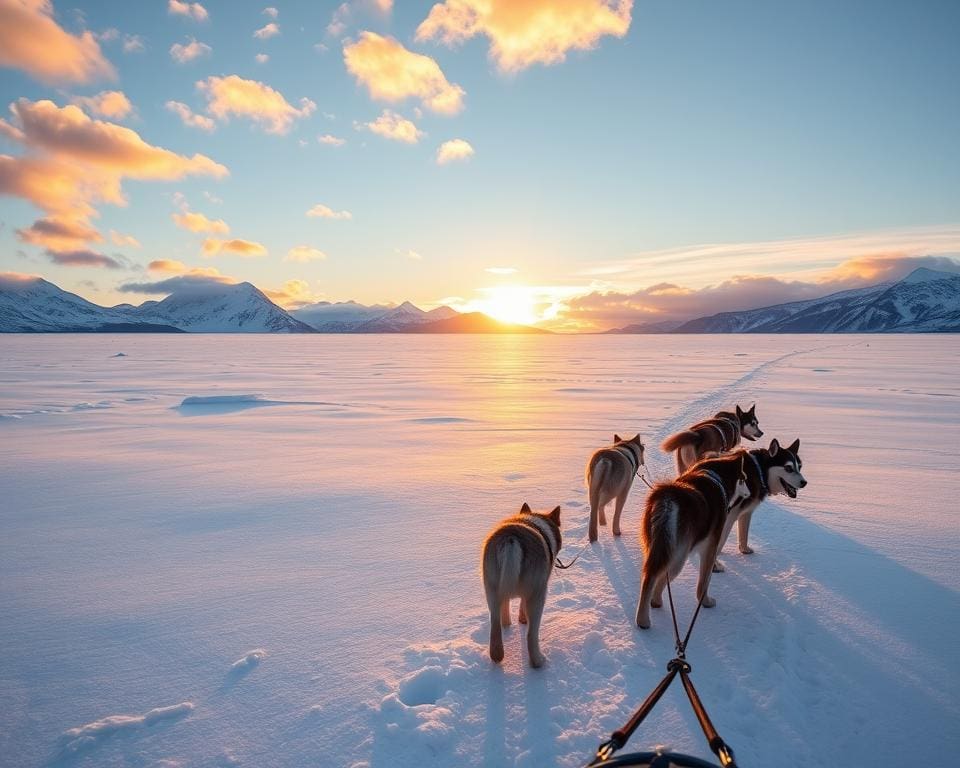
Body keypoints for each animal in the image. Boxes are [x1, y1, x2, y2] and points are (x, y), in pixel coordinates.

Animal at [484, 504, 560, 664]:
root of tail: (511, 538)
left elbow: (507, 609)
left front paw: (507, 623)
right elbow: (522, 606)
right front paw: (522, 620)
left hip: (492, 589)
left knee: (495, 624)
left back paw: (497, 655)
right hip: (537, 595)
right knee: (531, 634)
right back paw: (538, 661)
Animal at [632, 452, 752, 628]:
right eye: (744, 478)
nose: (749, 493)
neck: (715, 476)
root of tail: (668, 500)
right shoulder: (710, 549)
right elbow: (703, 583)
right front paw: (706, 602)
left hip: (657, 547)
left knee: (651, 577)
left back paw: (653, 605)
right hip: (679, 557)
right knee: (657, 577)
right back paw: (644, 619)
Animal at [708, 438, 808, 568]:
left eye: (799, 467)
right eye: (788, 468)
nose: (804, 482)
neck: (760, 471)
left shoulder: (746, 512)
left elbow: (743, 534)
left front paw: (744, 550)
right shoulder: (730, 516)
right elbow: (720, 544)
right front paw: (715, 564)